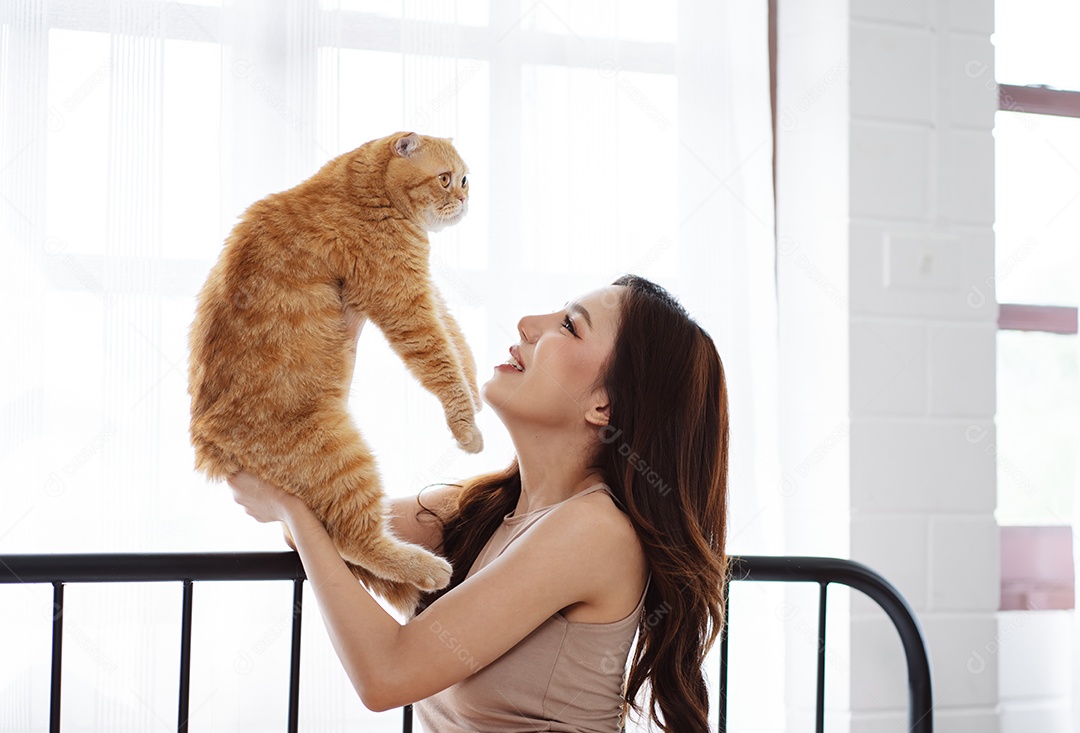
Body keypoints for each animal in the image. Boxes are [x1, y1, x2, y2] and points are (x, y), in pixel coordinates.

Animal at [187, 131, 483, 613]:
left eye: (464, 179)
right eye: (445, 179)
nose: (464, 198)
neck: (361, 189)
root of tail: (207, 446)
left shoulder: (424, 292)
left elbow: (459, 346)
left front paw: (475, 396)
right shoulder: (403, 300)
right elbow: (441, 359)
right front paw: (466, 426)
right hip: (341, 456)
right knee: (354, 541)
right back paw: (428, 568)